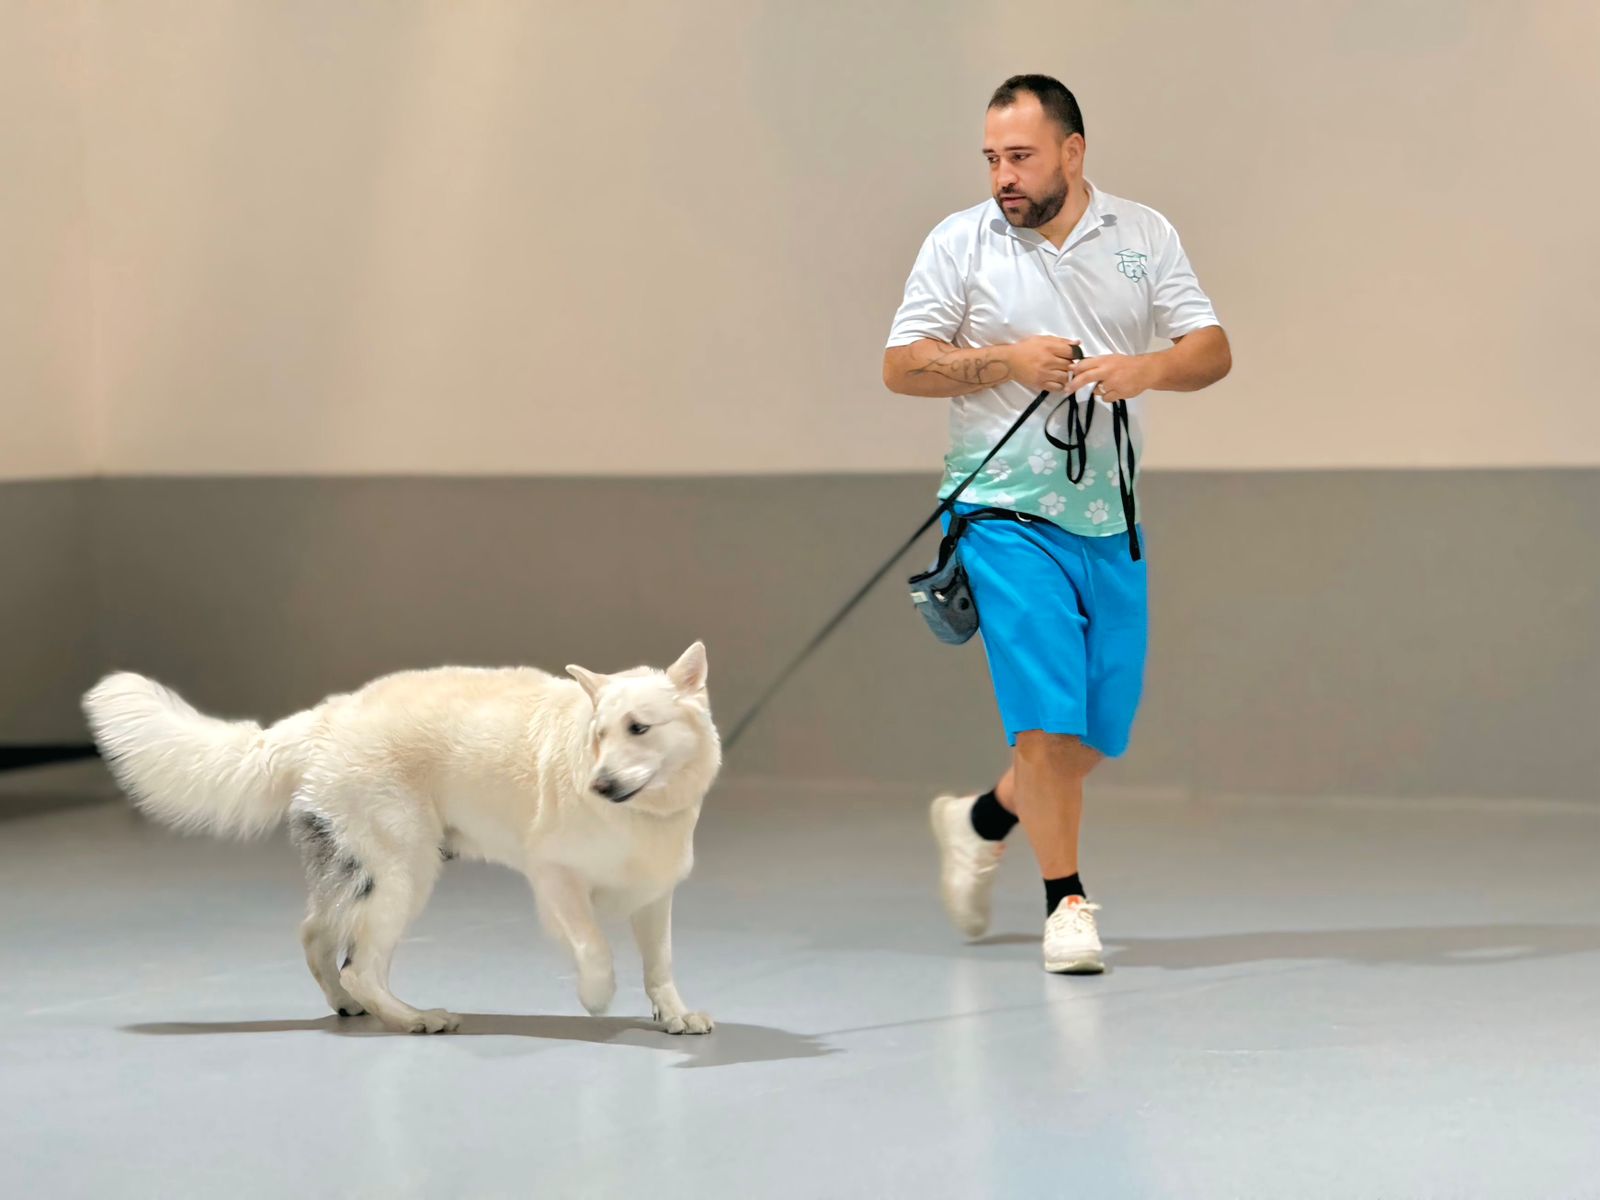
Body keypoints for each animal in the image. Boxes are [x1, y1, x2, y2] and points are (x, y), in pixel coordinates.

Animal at [79, 649, 720, 1036]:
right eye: (597, 736)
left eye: (639, 728)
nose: (600, 784)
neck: (641, 812)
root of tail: (324, 718)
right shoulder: (554, 878)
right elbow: (594, 947)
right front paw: (596, 995)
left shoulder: (653, 896)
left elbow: (659, 963)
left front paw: (675, 1015)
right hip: (403, 873)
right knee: (361, 965)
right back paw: (414, 1019)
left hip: (363, 871)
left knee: (317, 937)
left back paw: (352, 1006)